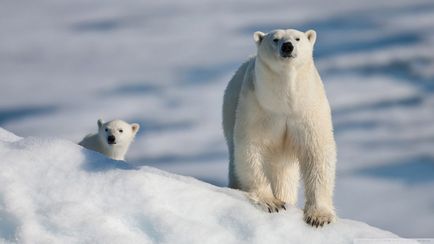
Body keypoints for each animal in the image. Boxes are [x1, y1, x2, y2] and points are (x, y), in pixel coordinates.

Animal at [222, 28, 338, 227]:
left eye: (297, 38)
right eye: (275, 39)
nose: (287, 46)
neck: (285, 102)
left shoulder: (307, 109)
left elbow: (317, 152)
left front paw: (319, 216)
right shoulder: (258, 106)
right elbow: (251, 148)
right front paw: (271, 202)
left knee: (284, 174)